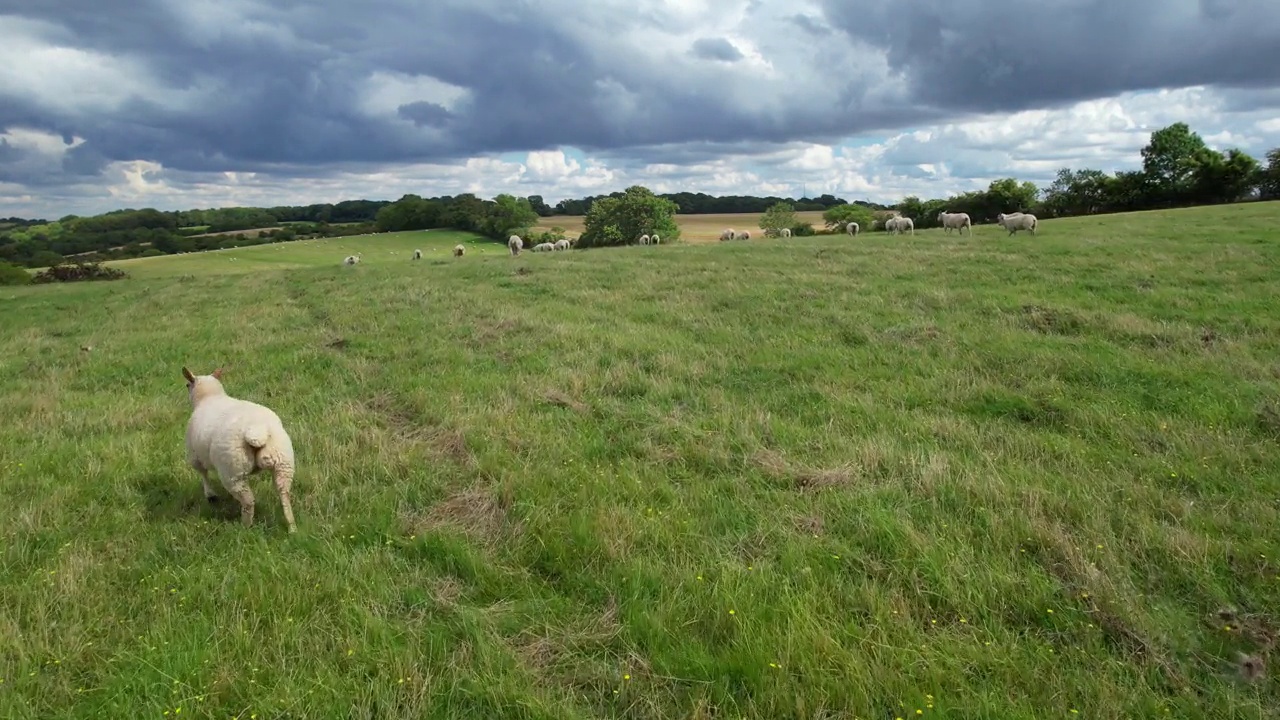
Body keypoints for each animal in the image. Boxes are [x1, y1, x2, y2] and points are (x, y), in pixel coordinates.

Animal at [183, 366, 296, 530]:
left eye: (187, 385)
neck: (210, 397)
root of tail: (257, 431)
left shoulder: (195, 456)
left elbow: (203, 474)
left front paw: (210, 495)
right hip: (283, 462)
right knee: (284, 494)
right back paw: (292, 527)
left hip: (233, 471)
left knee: (248, 502)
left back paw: (244, 527)